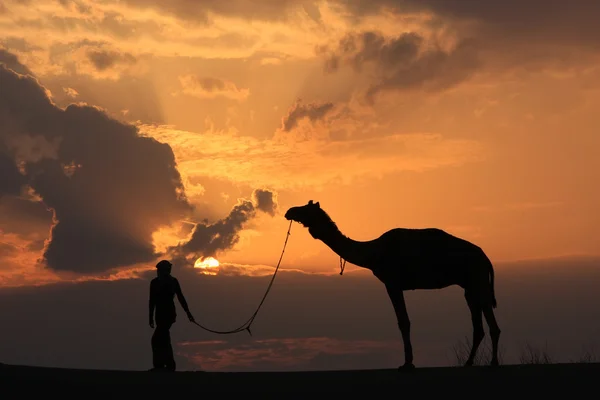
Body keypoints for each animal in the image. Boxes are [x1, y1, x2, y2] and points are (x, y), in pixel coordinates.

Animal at [284, 202, 500, 370]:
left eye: (305, 208)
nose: (289, 211)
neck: (373, 252)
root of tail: (486, 258)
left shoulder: (392, 283)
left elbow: (403, 321)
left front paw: (407, 363)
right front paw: (408, 361)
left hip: (477, 280)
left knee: (490, 322)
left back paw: (493, 362)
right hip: (469, 287)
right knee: (478, 325)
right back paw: (469, 362)